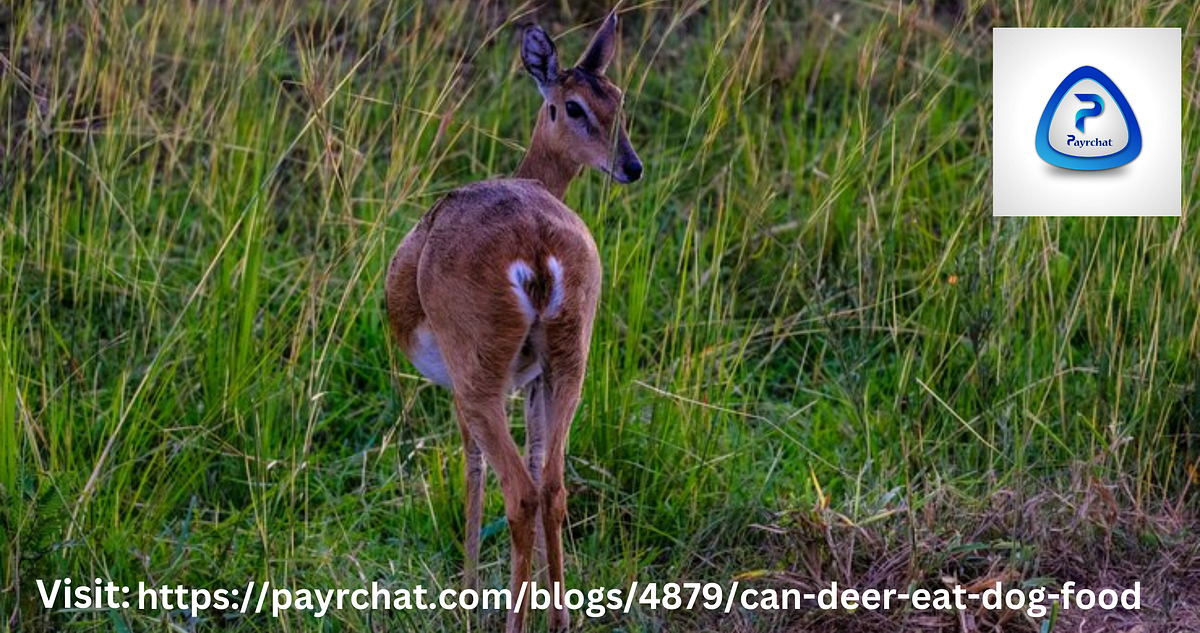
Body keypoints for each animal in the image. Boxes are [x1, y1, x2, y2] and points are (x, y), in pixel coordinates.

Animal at [385, 13, 641, 633]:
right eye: (578, 104)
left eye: (614, 99)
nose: (631, 166)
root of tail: (536, 245)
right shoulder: (532, 382)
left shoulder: (464, 391)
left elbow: (472, 469)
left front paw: (468, 594)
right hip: (569, 365)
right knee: (552, 485)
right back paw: (560, 619)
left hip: (481, 385)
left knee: (520, 492)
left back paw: (510, 619)